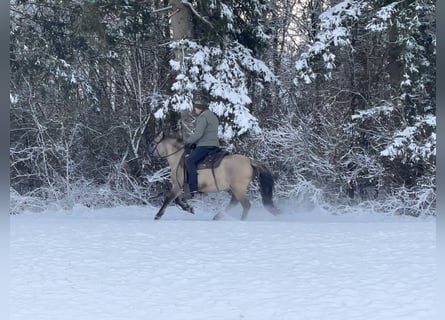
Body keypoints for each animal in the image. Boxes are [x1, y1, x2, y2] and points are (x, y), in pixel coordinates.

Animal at [147, 131, 276, 219]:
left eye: (153, 143)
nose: (149, 154)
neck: (179, 160)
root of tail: (250, 161)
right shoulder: (179, 189)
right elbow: (178, 200)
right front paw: (189, 208)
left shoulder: (177, 187)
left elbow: (169, 199)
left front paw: (158, 215)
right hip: (233, 189)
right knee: (234, 202)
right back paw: (218, 216)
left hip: (238, 188)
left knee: (246, 205)